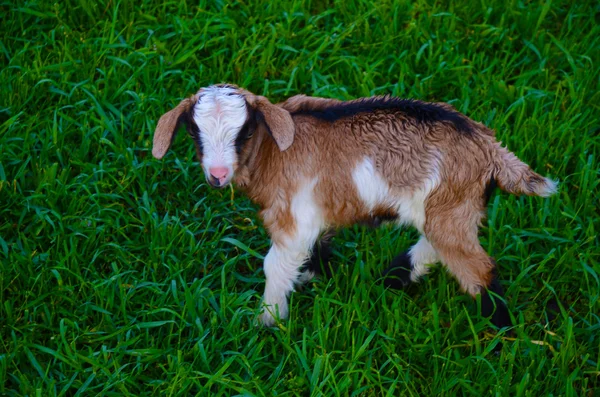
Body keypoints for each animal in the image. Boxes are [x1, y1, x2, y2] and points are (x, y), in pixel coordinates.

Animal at [152, 83, 556, 328]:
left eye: (245, 131)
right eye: (194, 132)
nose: (217, 175)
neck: (272, 152)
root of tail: (491, 149)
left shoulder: (293, 218)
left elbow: (275, 265)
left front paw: (269, 322)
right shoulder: (316, 212)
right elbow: (315, 246)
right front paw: (313, 277)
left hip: (450, 205)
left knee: (477, 267)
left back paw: (498, 331)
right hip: (450, 207)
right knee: (438, 245)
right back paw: (394, 277)